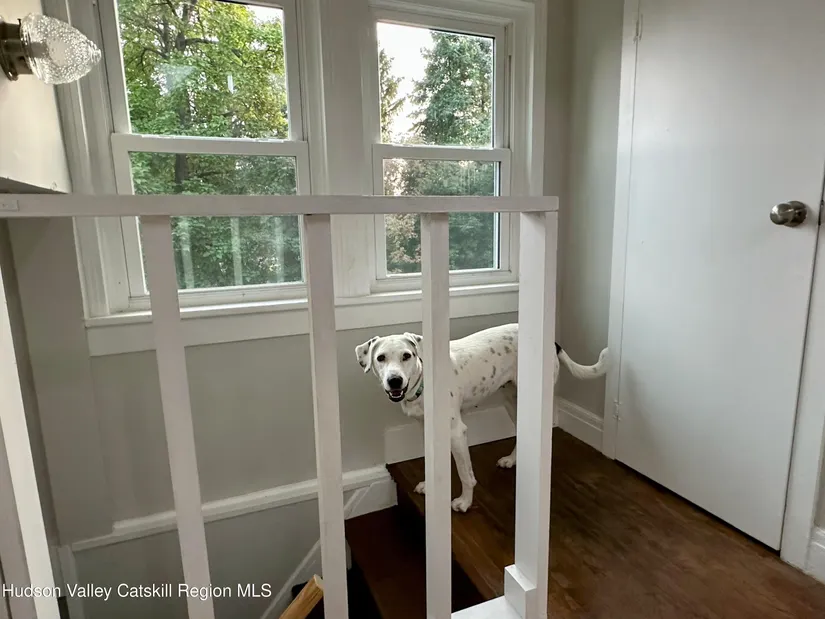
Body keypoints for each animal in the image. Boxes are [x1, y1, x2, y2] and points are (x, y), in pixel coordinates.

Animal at [355, 323, 608, 512]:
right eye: (381, 358)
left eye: (406, 356)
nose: (394, 380)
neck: (424, 382)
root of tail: (553, 342)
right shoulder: (428, 430)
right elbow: (432, 462)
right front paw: (431, 486)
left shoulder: (457, 433)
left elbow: (465, 475)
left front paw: (464, 502)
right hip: (513, 401)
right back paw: (513, 460)